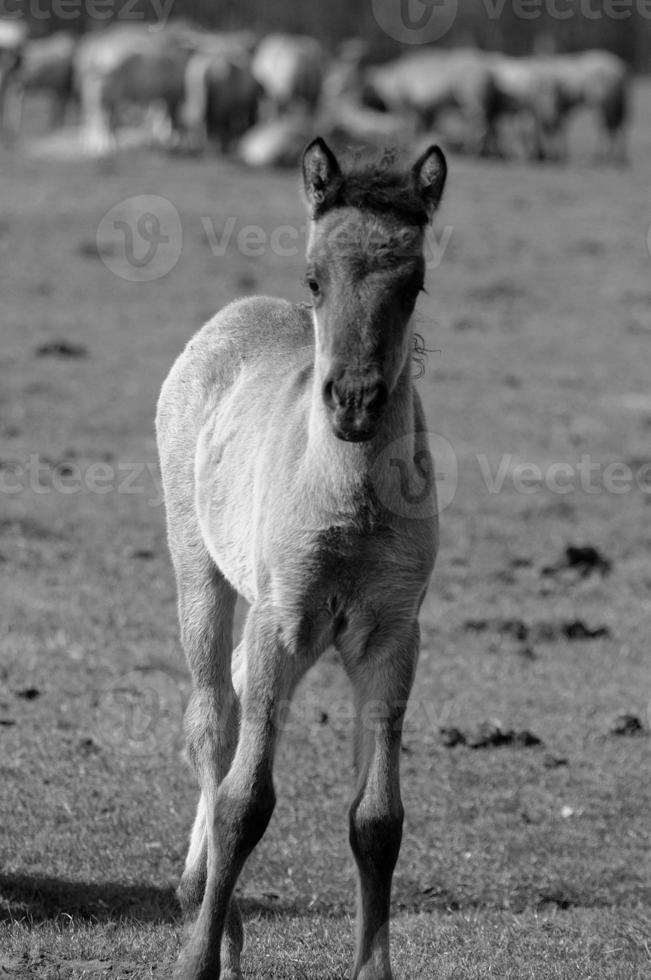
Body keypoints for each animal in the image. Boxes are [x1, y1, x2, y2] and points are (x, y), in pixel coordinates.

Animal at [159, 134, 448, 976]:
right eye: (314, 278)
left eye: (413, 282)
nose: (353, 402)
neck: (348, 505)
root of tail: (240, 313)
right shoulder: (282, 623)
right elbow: (243, 802)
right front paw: (197, 960)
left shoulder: (391, 636)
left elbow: (377, 819)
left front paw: (373, 969)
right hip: (203, 575)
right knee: (213, 721)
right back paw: (211, 917)